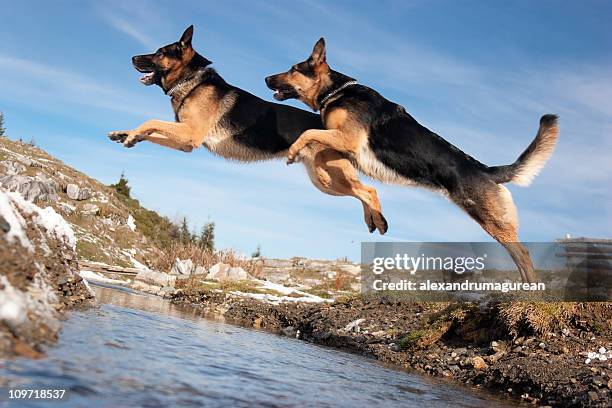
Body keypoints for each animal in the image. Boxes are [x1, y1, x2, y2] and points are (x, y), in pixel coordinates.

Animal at [107, 27, 388, 234]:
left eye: (159, 52)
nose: (132, 58)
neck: (192, 81)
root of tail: (337, 129)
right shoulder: (185, 141)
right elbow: (152, 132)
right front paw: (126, 135)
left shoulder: (190, 133)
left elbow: (150, 121)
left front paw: (132, 134)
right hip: (324, 181)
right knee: (362, 192)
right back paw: (373, 220)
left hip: (331, 176)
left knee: (369, 191)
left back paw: (379, 220)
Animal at [264, 38, 560, 282]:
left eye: (293, 68)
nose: (266, 78)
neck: (336, 91)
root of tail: (488, 171)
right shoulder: (344, 147)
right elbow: (336, 164)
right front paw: (371, 214)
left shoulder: (347, 139)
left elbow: (307, 133)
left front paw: (294, 152)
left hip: (492, 221)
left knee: (523, 254)